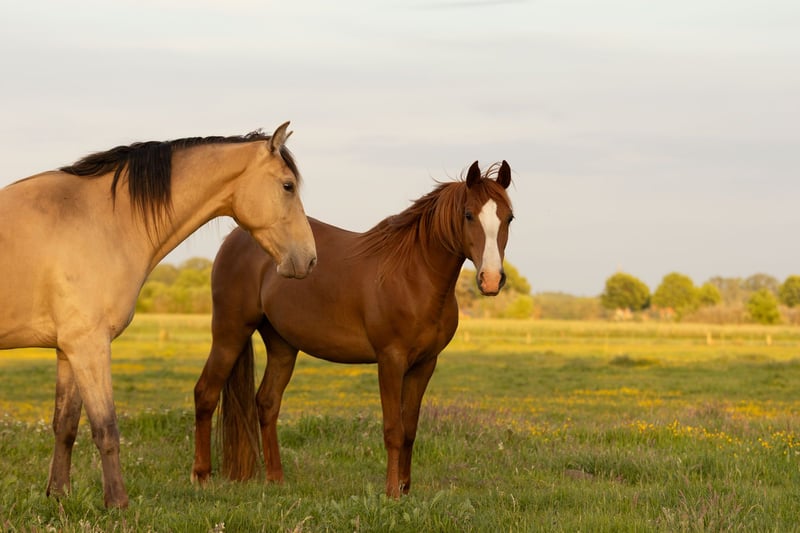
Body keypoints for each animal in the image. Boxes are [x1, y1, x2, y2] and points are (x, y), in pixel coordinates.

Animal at [0, 122, 317, 508]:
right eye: (288, 186)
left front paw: (59, 495)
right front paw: (117, 503)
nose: (309, 259)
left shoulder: (68, 349)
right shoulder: (89, 346)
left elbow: (66, 426)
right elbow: (106, 427)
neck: (98, 221)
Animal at [192, 160, 514, 497]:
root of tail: (236, 239)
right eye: (468, 214)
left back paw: (276, 479)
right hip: (230, 333)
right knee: (206, 393)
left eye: (509, 217)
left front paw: (406, 487)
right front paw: (391, 492)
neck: (414, 276)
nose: (491, 279)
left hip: (282, 345)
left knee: (267, 402)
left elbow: (410, 429)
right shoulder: (391, 360)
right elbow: (394, 429)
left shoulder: (425, 364)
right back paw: (201, 476)